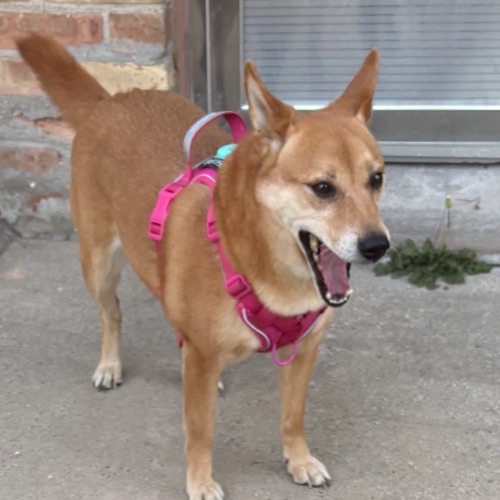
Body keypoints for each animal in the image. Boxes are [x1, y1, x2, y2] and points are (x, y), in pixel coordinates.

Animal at [17, 33, 390, 499]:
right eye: (323, 188)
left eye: (376, 179)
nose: (378, 245)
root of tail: (112, 100)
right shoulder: (203, 363)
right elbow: (200, 430)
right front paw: (200, 480)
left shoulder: (304, 352)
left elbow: (292, 417)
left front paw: (298, 460)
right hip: (98, 263)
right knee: (112, 312)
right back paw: (109, 364)